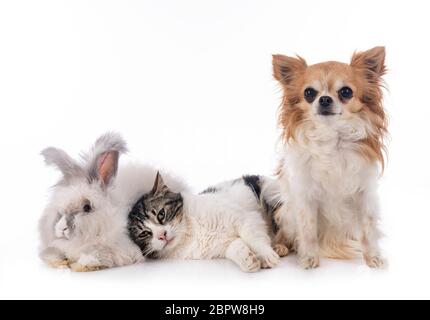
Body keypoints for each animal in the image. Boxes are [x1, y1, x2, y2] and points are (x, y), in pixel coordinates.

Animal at [40, 132, 186, 272]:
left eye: (87, 207)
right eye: (60, 209)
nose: (61, 228)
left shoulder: (116, 251)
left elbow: (95, 256)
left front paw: (80, 266)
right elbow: (52, 254)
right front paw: (60, 264)